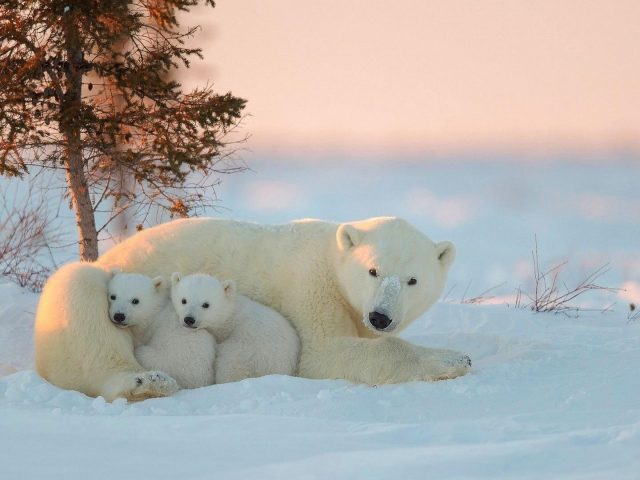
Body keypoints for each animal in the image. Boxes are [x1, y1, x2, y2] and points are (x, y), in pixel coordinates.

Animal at [35, 216, 472, 400]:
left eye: (412, 280)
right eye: (373, 270)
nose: (380, 316)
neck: (331, 256)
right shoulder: (310, 286)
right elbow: (322, 354)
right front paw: (452, 358)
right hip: (102, 288)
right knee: (79, 296)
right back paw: (146, 382)